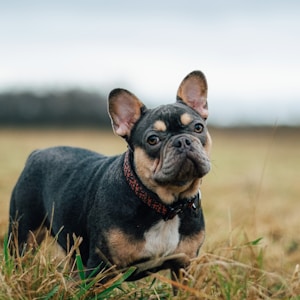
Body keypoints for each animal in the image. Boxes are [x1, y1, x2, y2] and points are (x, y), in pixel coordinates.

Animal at [8, 70, 212, 282]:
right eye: (153, 139)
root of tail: (37, 153)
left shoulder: (182, 266)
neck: (166, 207)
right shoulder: (99, 267)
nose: (183, 140)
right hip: (24, 232)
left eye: (198, 128)